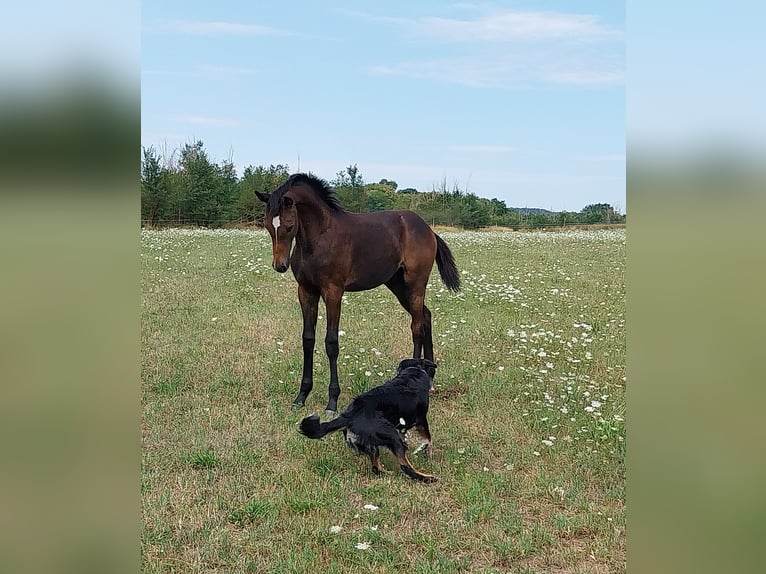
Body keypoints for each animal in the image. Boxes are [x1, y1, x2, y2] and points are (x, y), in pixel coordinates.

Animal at [256, 173, 460, 414]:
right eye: (267, 225)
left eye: (289, 226)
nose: (280, 266)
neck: (319, 238)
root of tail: (427, 229)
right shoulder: (306, 291)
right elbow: (308, 339)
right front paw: (301, 396)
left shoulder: (333, 291)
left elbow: (331, 343)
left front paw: (332, 402)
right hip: (397, 284)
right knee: (426, 316)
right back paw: (430, 378)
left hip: (415, 283)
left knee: (417, 327)